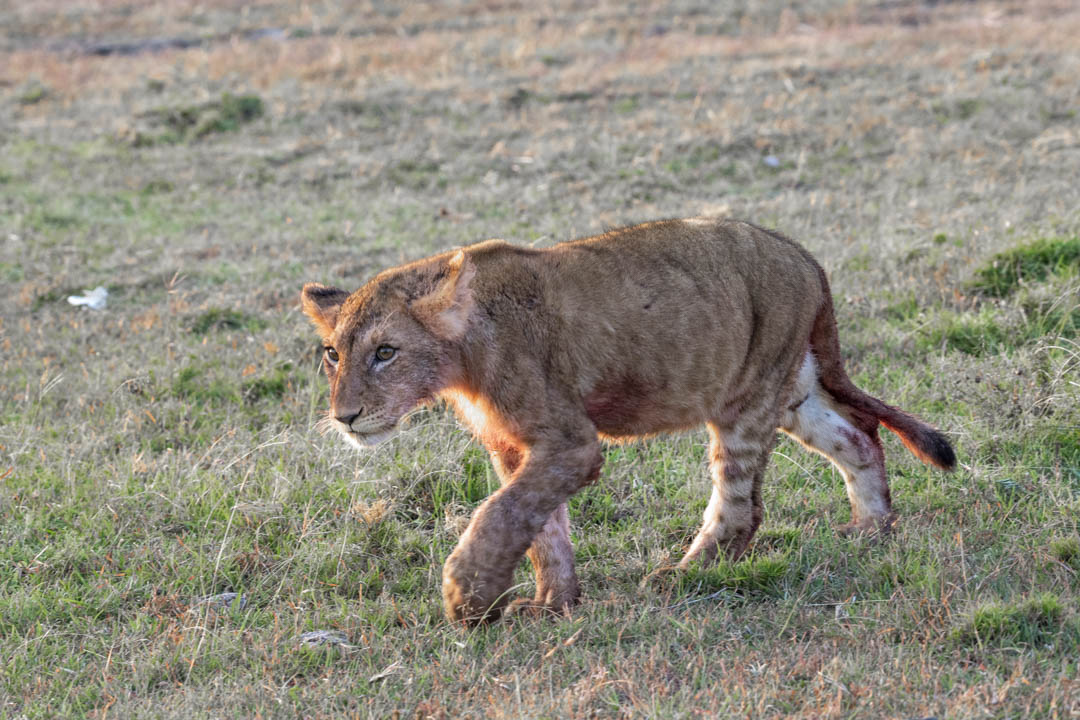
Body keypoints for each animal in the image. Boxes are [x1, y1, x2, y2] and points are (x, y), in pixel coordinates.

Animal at [300, 218, 955, 624]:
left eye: (386, 352)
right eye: (333, 353)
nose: (345, 417)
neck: (462, 355)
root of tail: (804, 256)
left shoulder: (570, 443)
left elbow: (500, 514)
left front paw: (468, 597)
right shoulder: (517, 448)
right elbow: (541, 529)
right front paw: (553, 605)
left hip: (747, 396)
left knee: (742, 507)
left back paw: (686, 576)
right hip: (787, 388)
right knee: (857, 436)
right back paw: (871, 529)